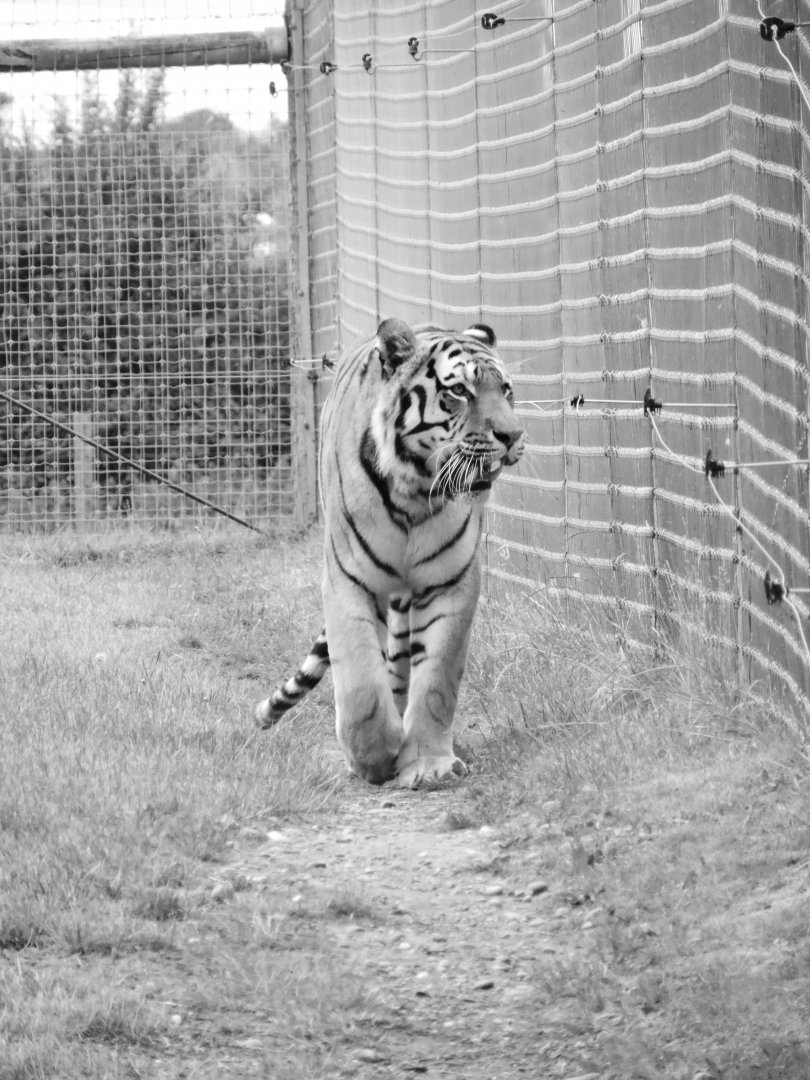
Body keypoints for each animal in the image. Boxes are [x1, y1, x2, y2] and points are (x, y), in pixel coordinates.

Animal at [255, 318, 524, 788]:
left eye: (505, 390)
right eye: (459, 391)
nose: (512, 436)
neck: (414, 492)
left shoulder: (451, 582)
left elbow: (436, 681)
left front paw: (428, 763)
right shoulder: (348, 579)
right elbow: (361, 682)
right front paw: (372, 758)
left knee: (401, 666)